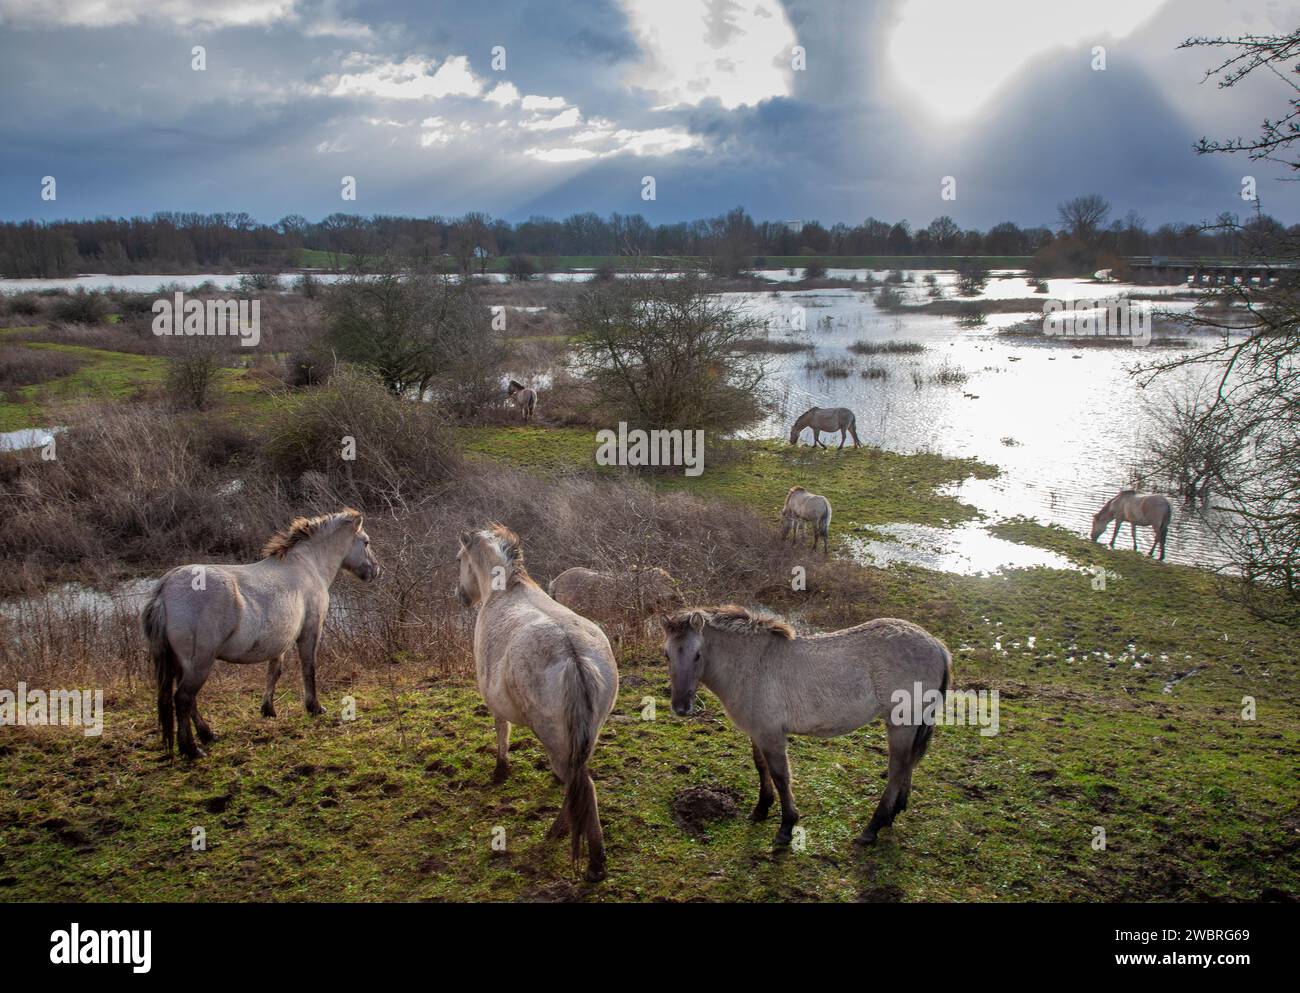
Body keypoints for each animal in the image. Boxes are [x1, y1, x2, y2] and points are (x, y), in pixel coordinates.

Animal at [141, 506, 379, 753]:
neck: (307, 565)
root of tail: (164, 590)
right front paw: (314, 707)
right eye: (366, 542)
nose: (376, 570)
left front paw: (268, 709)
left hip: (182, 664)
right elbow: (308, 668)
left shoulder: (280, 642)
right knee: (184, 698)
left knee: (188, 700)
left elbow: (274, 672)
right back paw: (192, 750)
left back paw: (207, 735)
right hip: (200, 663)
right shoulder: (310, 631)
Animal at [457, 522, 618, 878]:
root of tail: (573, 656)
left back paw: (582, 851)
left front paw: (500, 769)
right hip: (583, 738)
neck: (505, 591)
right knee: (580, 784)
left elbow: (501, 732)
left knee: (581, 785)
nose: (460, 596)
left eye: (459, 558)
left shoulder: (494, 703)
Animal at [665, 605, 951, 847]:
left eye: (698, 654)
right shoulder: (757, 732)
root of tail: (938, 646)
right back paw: (893, 814)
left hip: (901, 724)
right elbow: (761, 767)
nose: (681, 707)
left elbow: (781, 776)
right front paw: (761, 809)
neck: (752, 663)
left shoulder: (771, 735)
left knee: (898, 769)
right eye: (666, 654)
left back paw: (873, 828)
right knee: (908, 765)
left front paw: (786, 827)